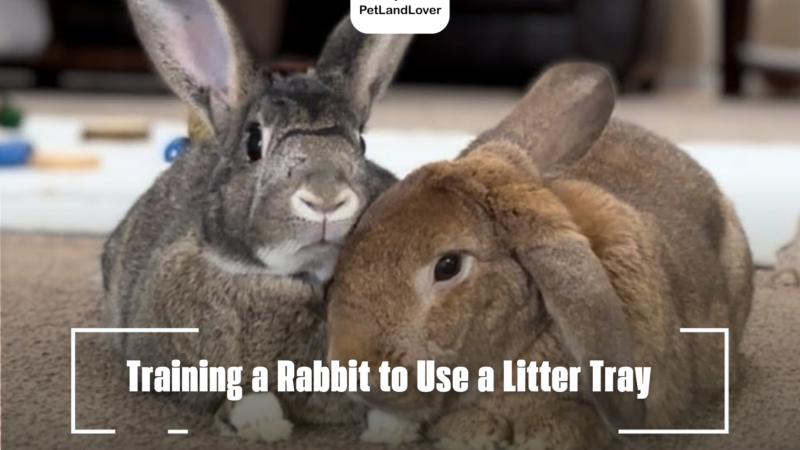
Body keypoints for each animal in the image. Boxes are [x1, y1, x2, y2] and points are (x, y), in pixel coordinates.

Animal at [101, 0, 412, 442]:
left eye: (362, 143)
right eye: (254, 143)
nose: (326, 198)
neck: (303, 278)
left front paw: (395, 431)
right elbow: (243, 393)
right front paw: (264, 425)